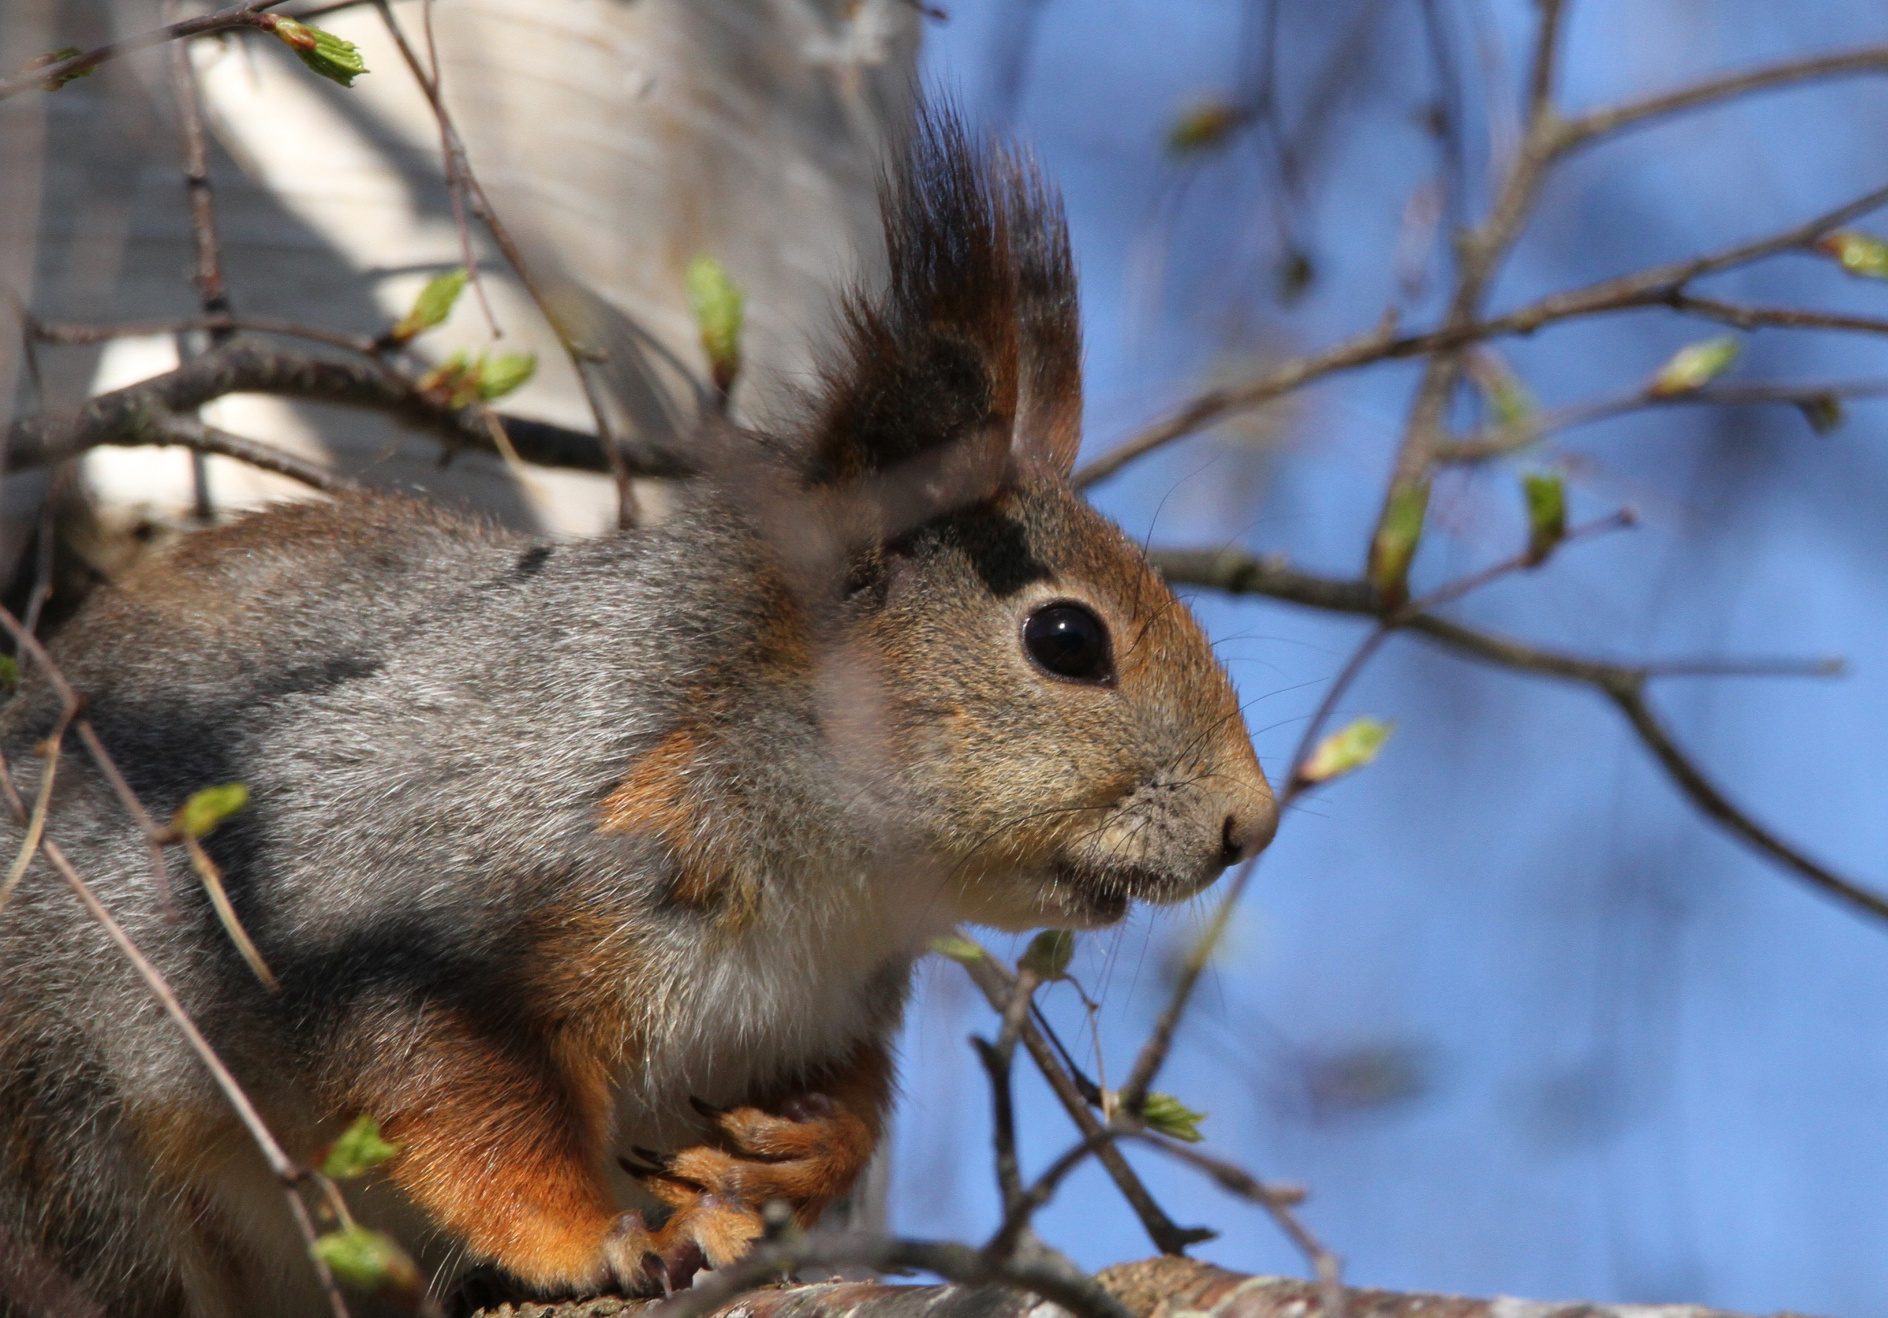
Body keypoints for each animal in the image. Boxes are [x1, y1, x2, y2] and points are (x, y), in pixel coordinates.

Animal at [0, 109, 1277, 1317]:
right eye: (1067, 642)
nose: (1249, 826)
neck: (832, 882)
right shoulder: (385, 897)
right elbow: (457, 1097)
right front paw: (592, 1239)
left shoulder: (832, 1009)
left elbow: (846, 1100)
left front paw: (807, 1151)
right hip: (71, 1138)